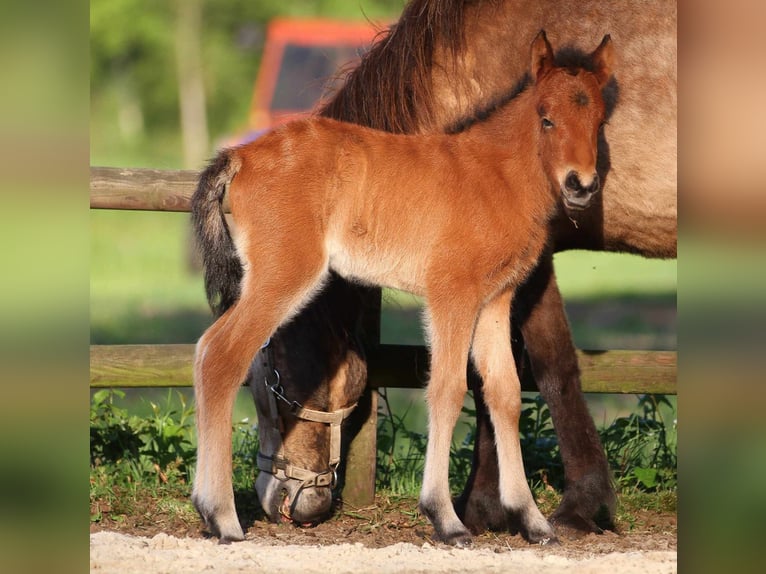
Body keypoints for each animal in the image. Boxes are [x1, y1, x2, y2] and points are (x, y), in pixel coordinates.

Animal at [238, 0, 676, 537]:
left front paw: (563, 507)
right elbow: (497, 379)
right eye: (547, 119)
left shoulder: (522, 266)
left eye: (269, 381)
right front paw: (497, 506)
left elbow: (546, 368)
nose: (279, 500)